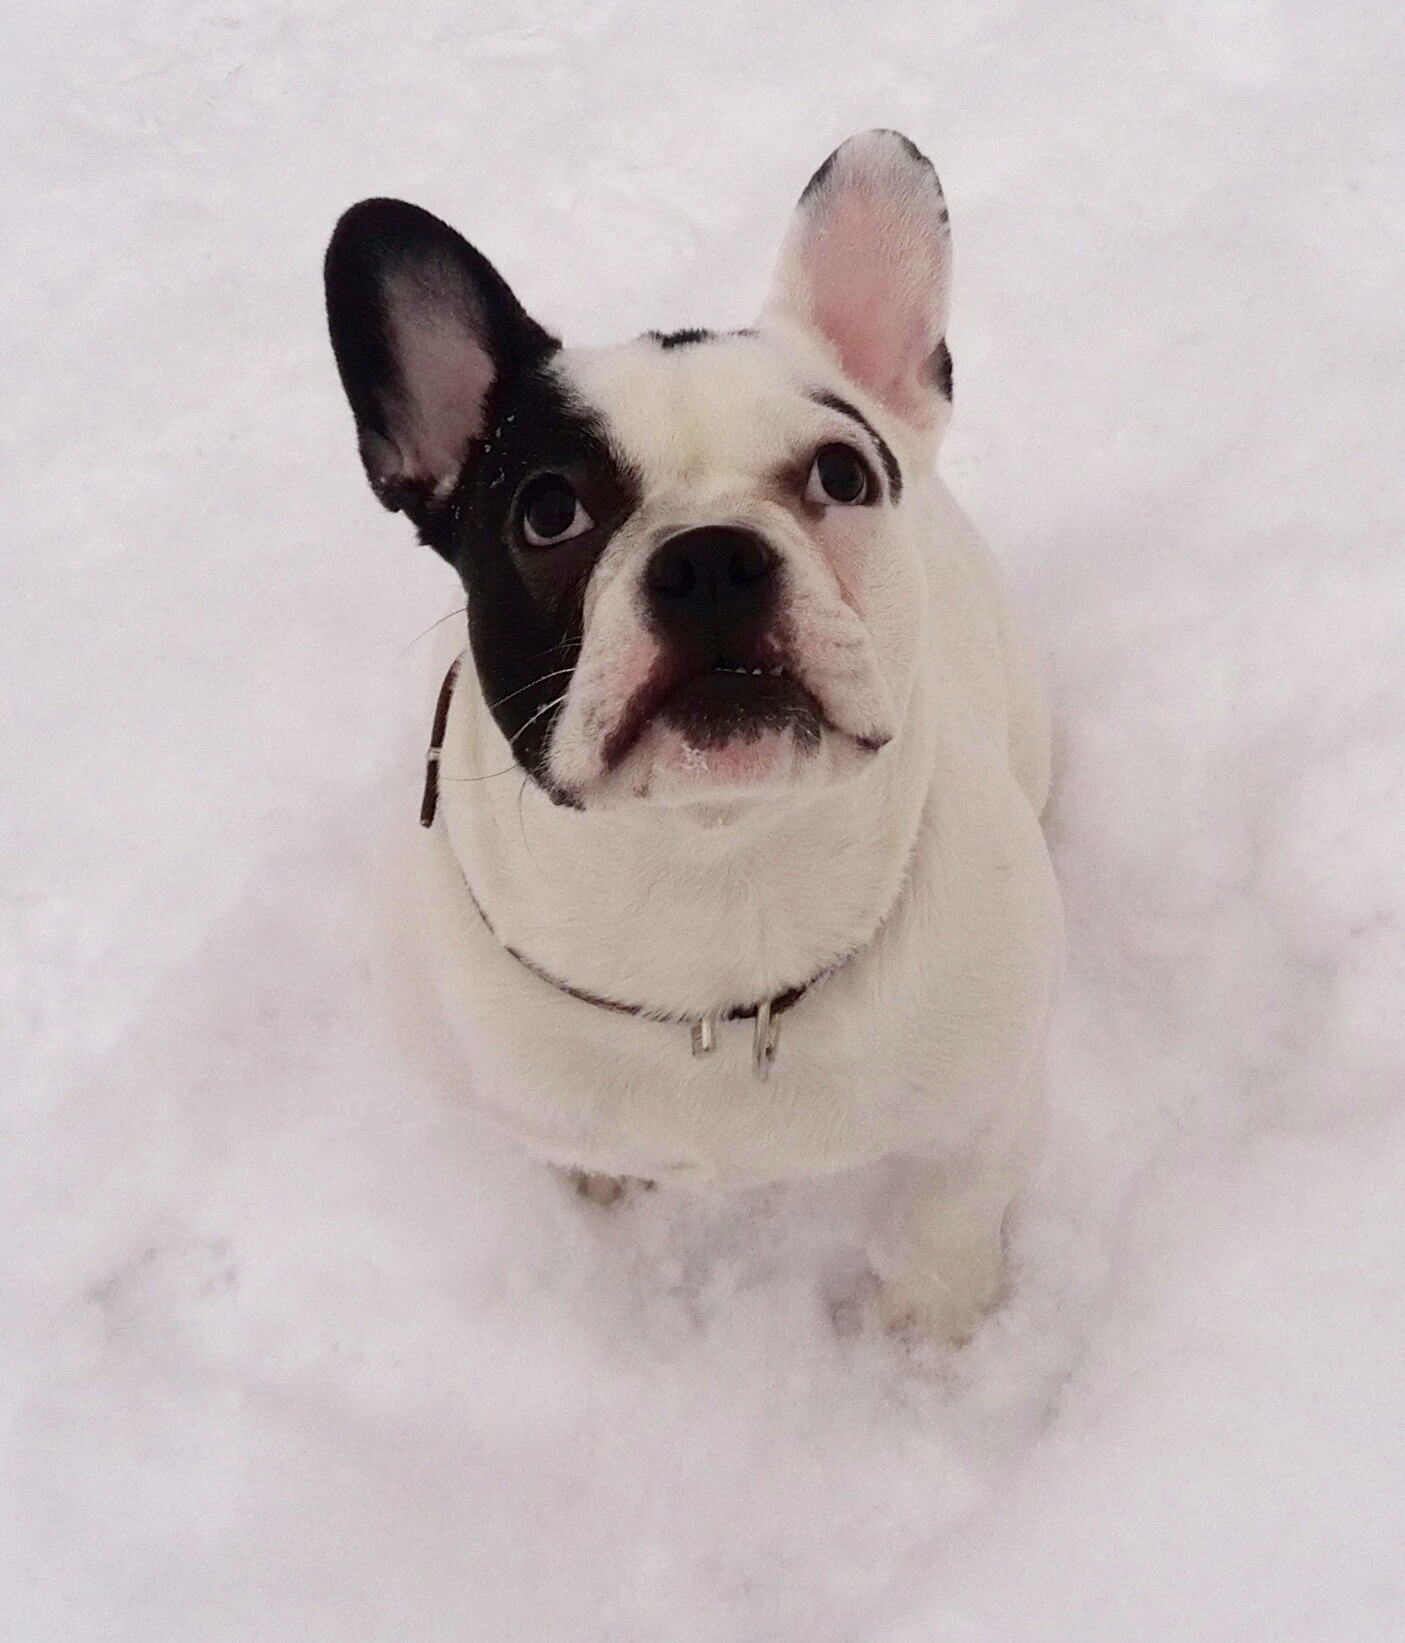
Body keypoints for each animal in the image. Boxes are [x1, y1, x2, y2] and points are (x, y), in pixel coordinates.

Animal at [323, 134, 1058, 1340]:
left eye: (843, 473)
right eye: (548, 512)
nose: (709, 557)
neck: (714, 870)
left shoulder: (980, 1116)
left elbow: (943, 1227)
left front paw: (928, 1340)